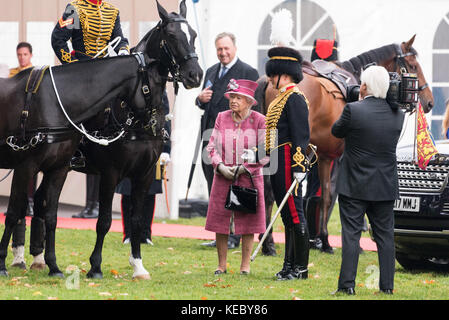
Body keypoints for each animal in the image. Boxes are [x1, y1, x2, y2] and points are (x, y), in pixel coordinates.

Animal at [0, 0, 200, 276]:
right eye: (171, 35)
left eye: (194, 35)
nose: (195, 75)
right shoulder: (109, 172)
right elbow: (104, 220)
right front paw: (95, 266)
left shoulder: (145, 173)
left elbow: (136, 219)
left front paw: (138, 265)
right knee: (24, 207)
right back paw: (20, 257)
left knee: (39, 203)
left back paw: (38, 258)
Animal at [264, 35, 432, 254]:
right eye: (413, 65)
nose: (429, 102)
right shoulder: (341, 158)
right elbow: (335, 195)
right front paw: (332, 240)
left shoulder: (324, 157)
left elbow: (323, 195)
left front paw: (320, 239)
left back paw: (267, 242)